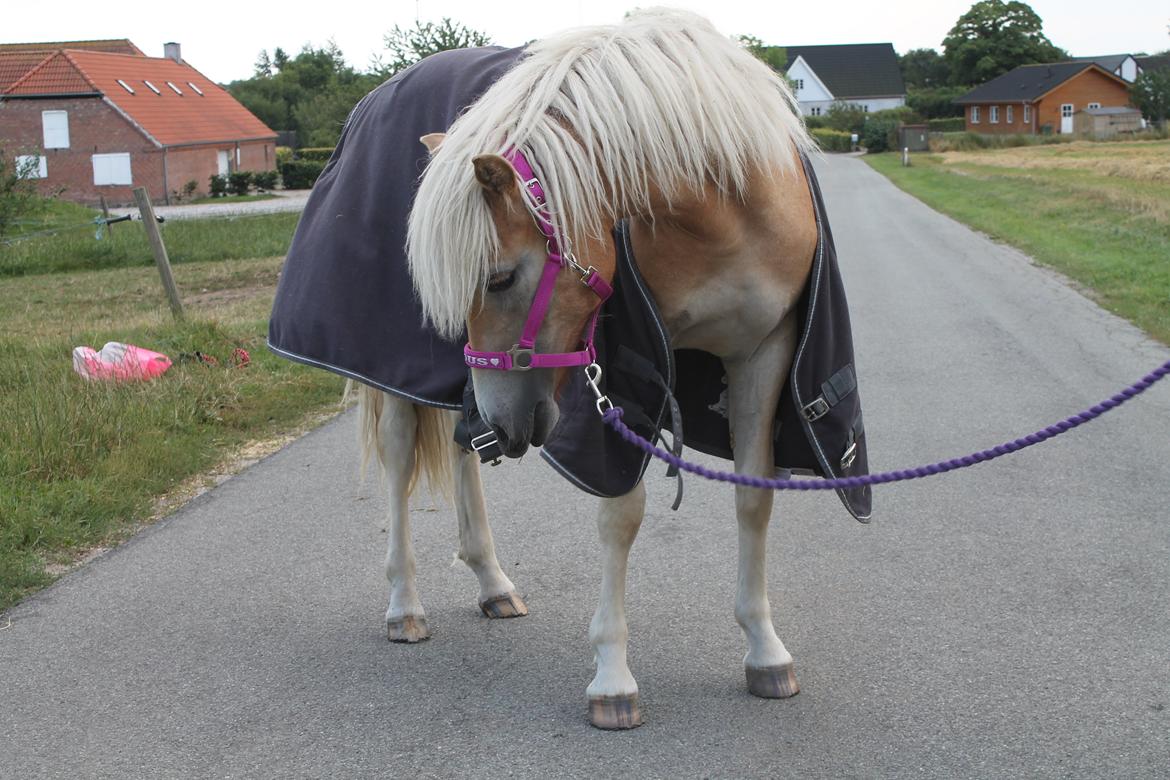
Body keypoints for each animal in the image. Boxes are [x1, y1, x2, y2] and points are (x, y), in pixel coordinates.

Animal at [407, 7, 828, 734]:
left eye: (499, 278)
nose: (501, 416)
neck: (728, 208)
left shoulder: (767, 352)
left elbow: (755, 496)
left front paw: (765, 650)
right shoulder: (623, 373)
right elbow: (620, 513)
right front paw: (612, 677)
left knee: (460, 453)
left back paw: (492, 584)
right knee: (400, 459)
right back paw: (402, 604)